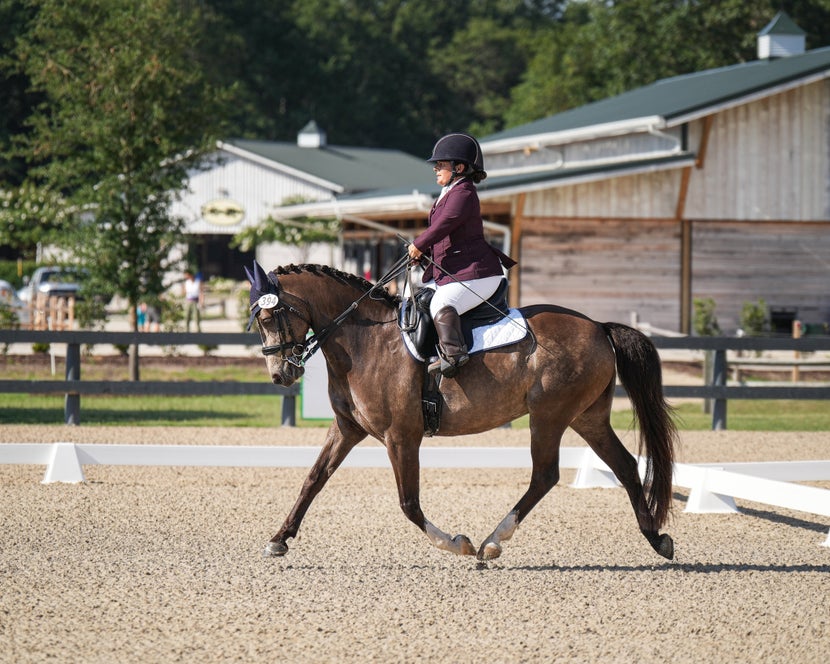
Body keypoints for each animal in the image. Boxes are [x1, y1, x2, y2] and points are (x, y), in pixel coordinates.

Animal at [250, 262, 680, 564]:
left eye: (270, 317)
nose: (280, 375)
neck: (365, 339)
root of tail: (598, 326)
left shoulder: (401, 436)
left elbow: (409, 504)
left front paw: (458, 544)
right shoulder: (346, 429)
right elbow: (313, 480)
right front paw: (278, 540)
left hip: (549, 416)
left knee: (545, 476)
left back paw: (491, 543)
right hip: (587, 417)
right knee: (625, 466)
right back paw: (657, 539)